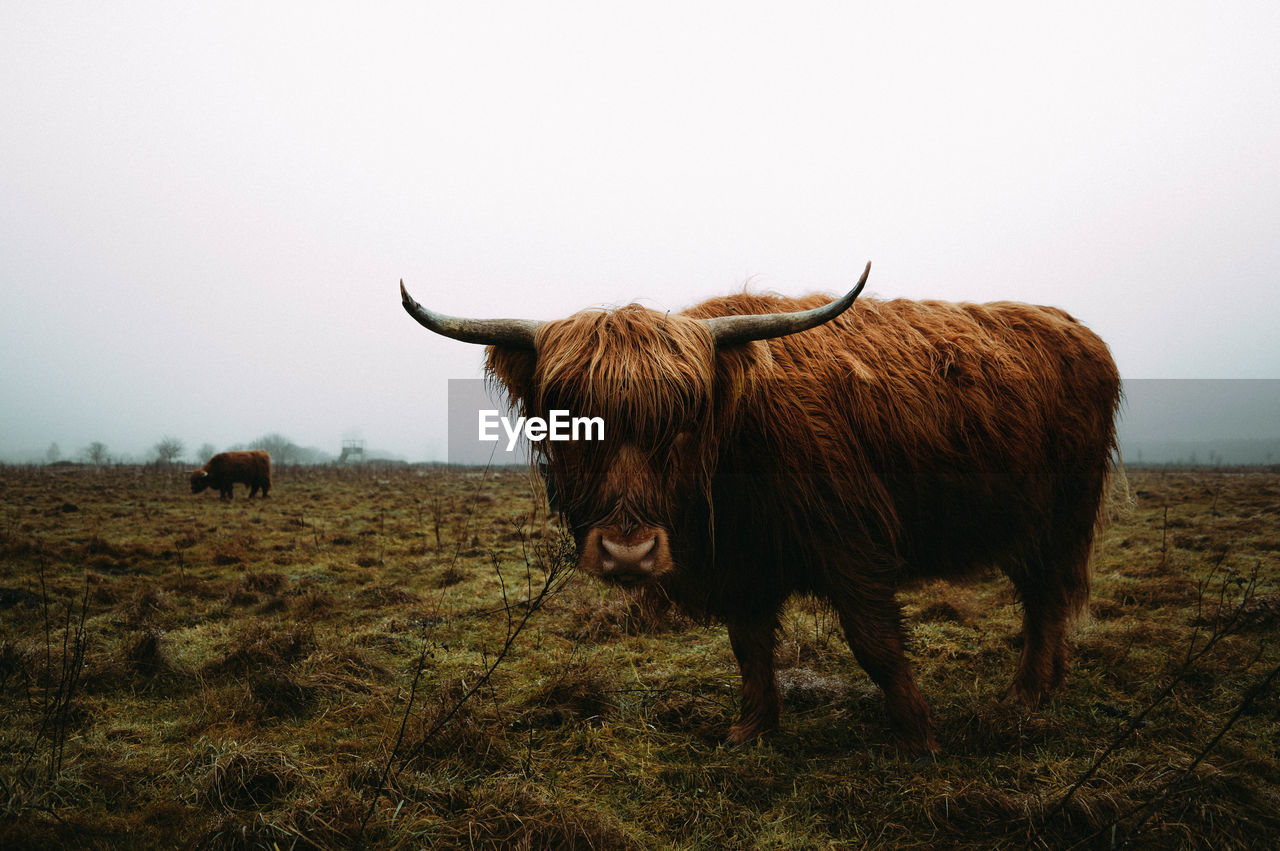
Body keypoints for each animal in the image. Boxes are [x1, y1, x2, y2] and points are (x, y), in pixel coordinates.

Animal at [399, 262, 1121, 752]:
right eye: (567, 418)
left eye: (685, 418)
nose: (628, 551)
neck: (736, 449)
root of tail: (1075, 329)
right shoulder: (739, 564)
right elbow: (748, 647)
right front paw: (751, 730)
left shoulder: (852, 540)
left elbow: (877, 644)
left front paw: (919, 735)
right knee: (1043, 597)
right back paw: (1046, 684)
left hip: (1061, 515)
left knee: (1047, 596)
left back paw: (1026, 692)